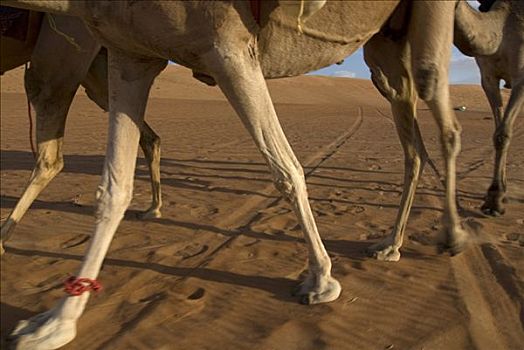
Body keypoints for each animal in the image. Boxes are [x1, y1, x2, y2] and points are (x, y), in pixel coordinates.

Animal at [0, 10, 164, 253]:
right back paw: (153, 208)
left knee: (50, 158)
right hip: (98, 68)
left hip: (64, 51)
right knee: (144, 131)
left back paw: (1, 239)